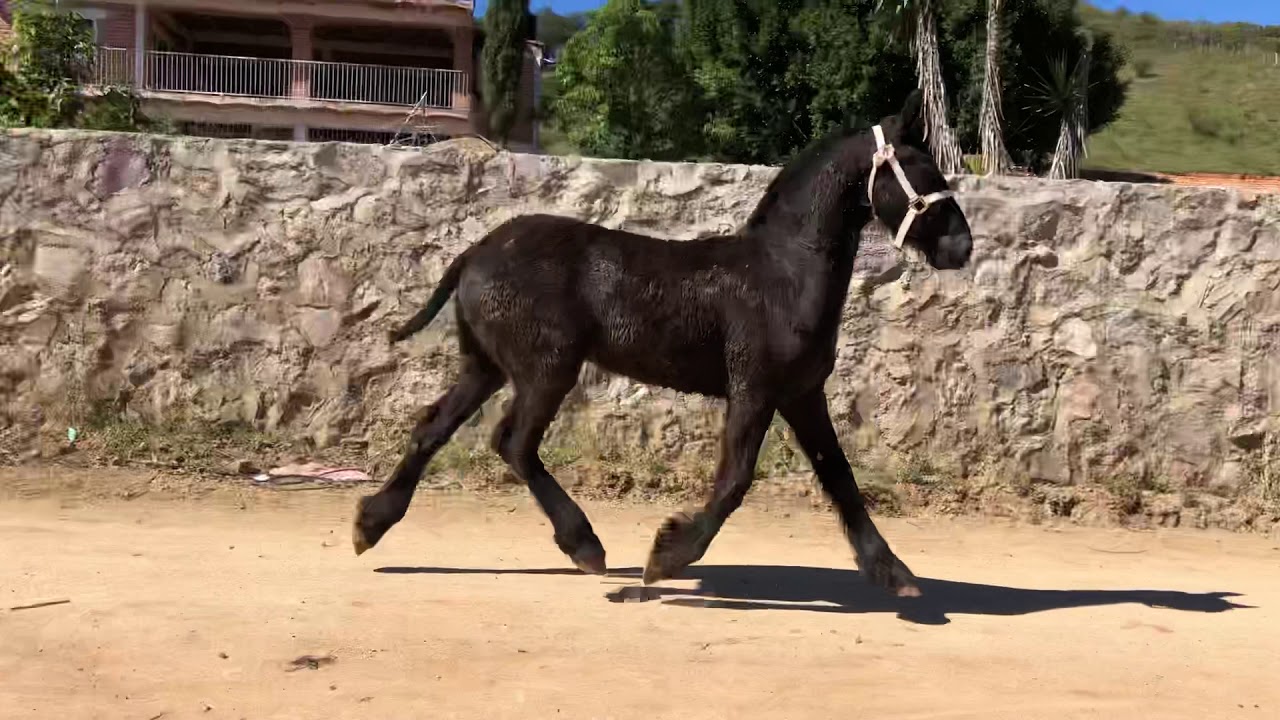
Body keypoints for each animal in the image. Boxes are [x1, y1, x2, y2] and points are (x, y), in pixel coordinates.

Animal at [352, 90, 973, 598]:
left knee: (433, 428)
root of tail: (476, 251)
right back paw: (585, 546)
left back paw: (370, 524)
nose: (961, 246)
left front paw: (894, 573)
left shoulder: (802, 394)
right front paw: (667, 557)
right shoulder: (755, 388)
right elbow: (735, 480)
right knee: (514, 443)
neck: (784, 272)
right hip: (546, 368)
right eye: (920, 166)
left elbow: (840, 478)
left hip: (486, 366)